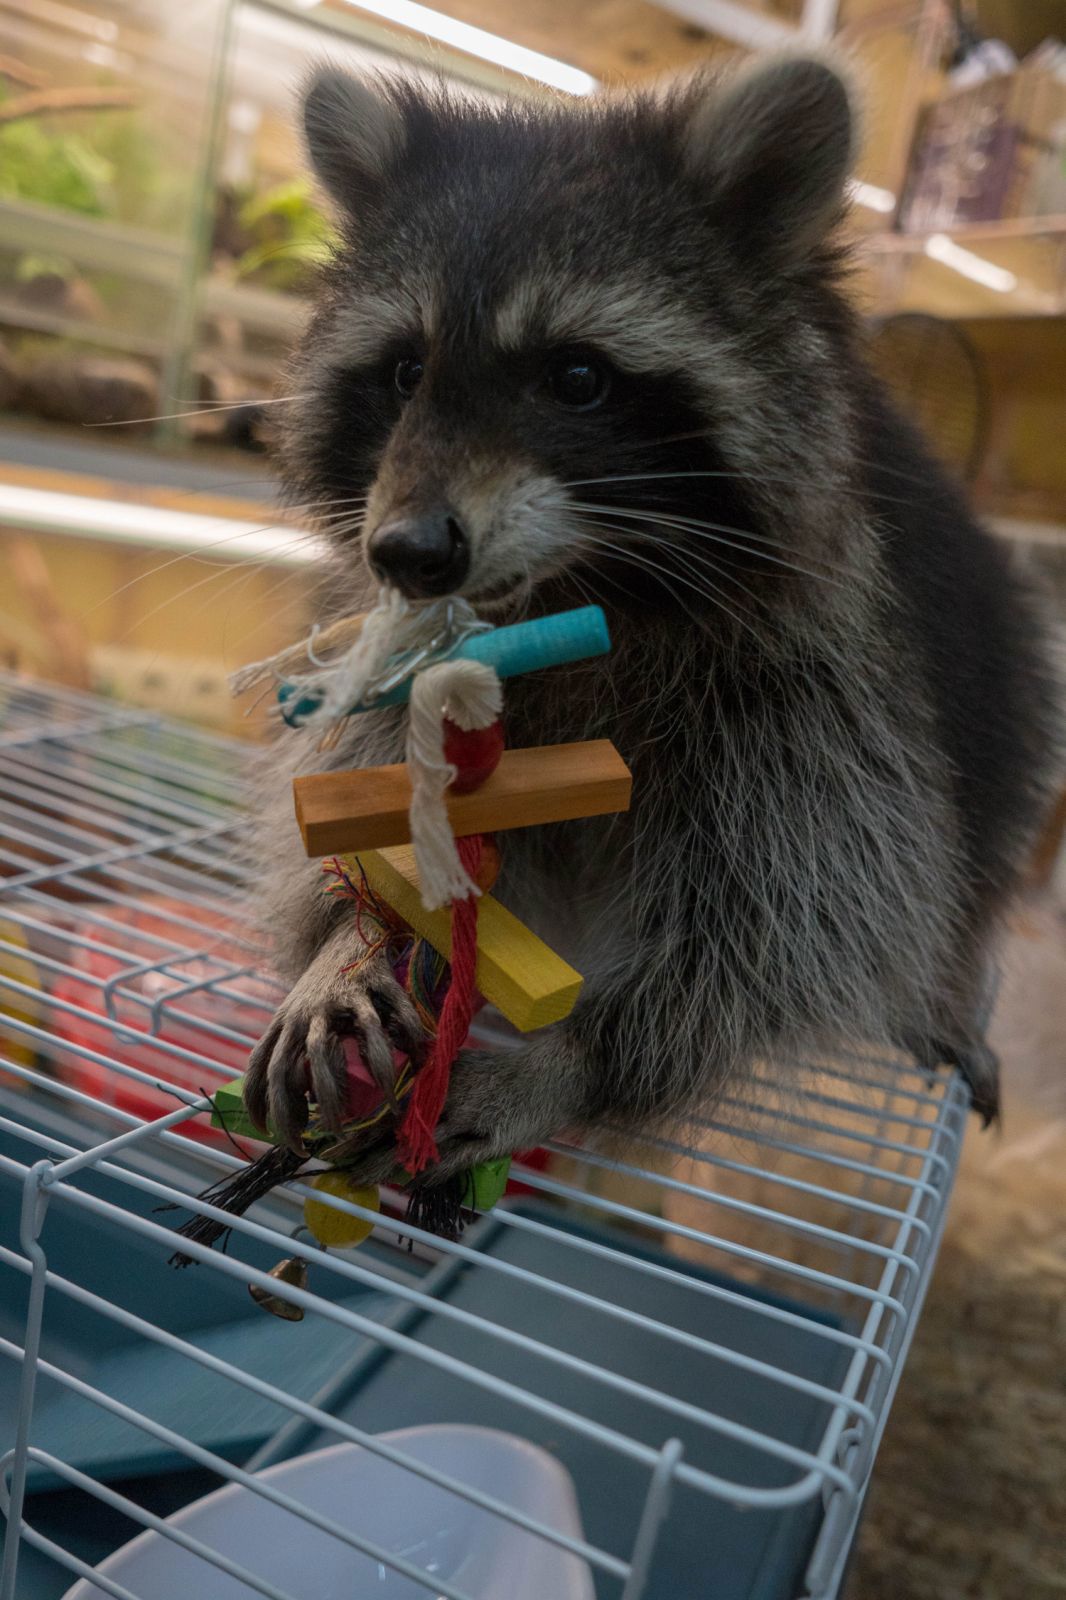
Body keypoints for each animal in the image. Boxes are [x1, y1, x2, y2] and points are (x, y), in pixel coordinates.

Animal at [246, 59, 1056, 1177]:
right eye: (406, 371)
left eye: (578, 378)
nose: (408, 550)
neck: (568, 584)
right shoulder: (409, 649)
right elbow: (358, 782)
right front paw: (348, 934)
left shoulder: (823, 671)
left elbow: (808, 904)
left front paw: (579, 1055)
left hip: (989, 661)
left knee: (963, 841)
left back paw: (939, 994)